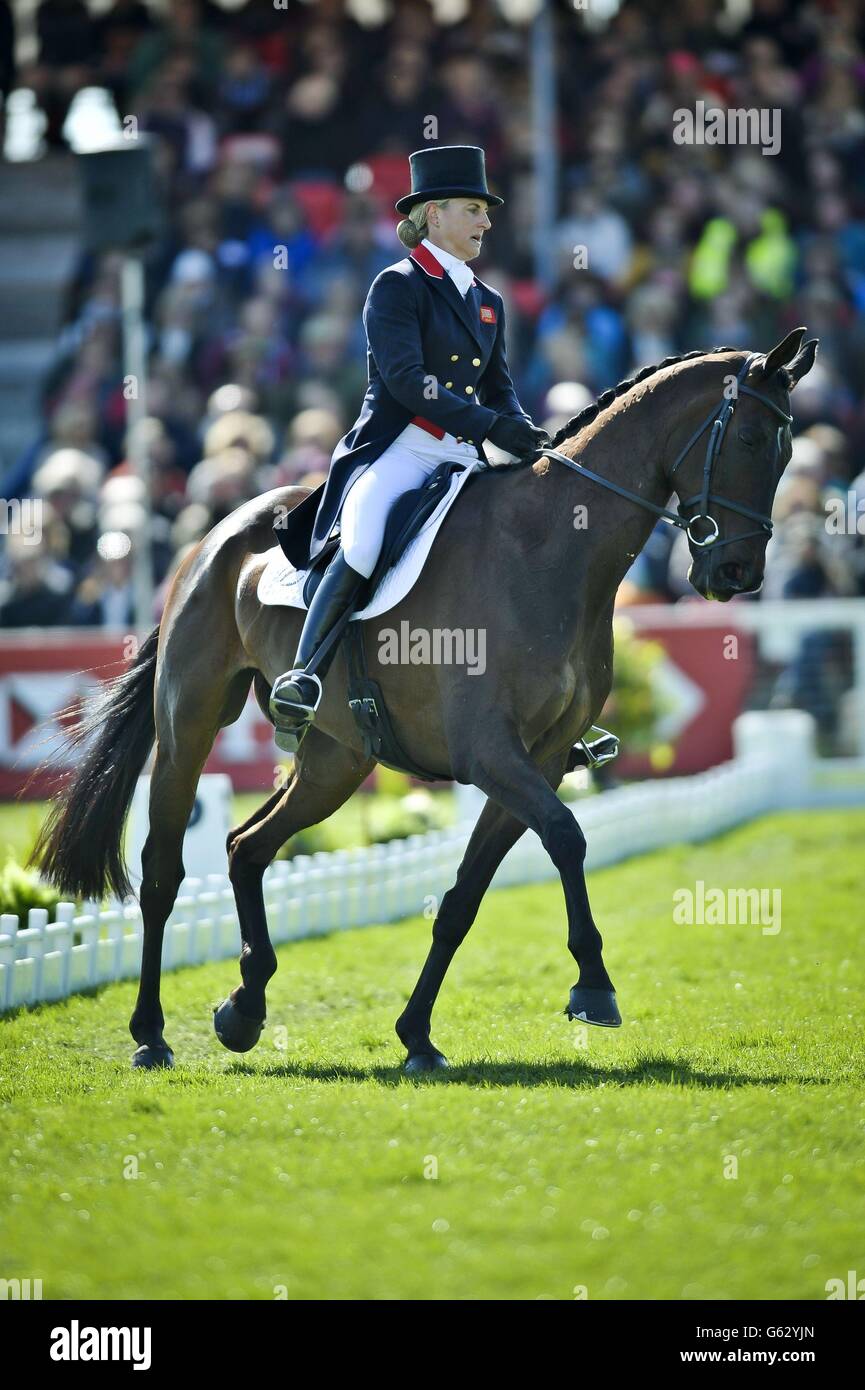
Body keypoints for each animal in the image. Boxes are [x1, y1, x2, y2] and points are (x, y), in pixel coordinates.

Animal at [32, 328, 817, 1073]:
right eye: (751, 440)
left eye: (787, 455)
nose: (737, 573)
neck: (552, 549)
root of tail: (213, 536)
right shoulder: (491, 753)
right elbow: (567, 836)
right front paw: (593, 987)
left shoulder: (536, 760)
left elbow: (463, 899)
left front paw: (416, 1036)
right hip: (190, 723)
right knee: (164, 871)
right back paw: (150, 1034)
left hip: (336, 759)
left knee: (247, 847)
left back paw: (244, 1008)